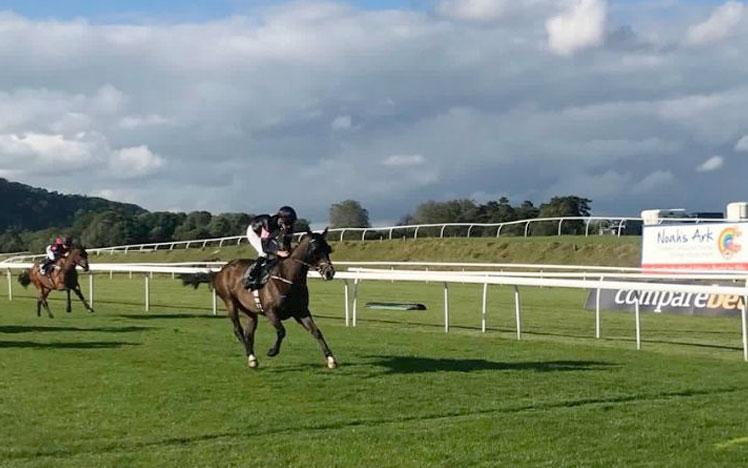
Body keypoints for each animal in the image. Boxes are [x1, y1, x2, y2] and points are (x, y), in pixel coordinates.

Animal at [184, 229, 338, 370]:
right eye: (315, 250)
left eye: (328, 249)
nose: (329, 272)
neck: (288, 278)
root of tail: (220, 271)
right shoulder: (271, 312)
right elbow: (281, 331)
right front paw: (272, 351)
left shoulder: (301, 312)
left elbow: (316, 332)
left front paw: (331, 359)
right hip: (230, 302)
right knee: (238, 330)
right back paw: (251, 357)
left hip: (249, 311)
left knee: (249, 333)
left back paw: (252, 356)